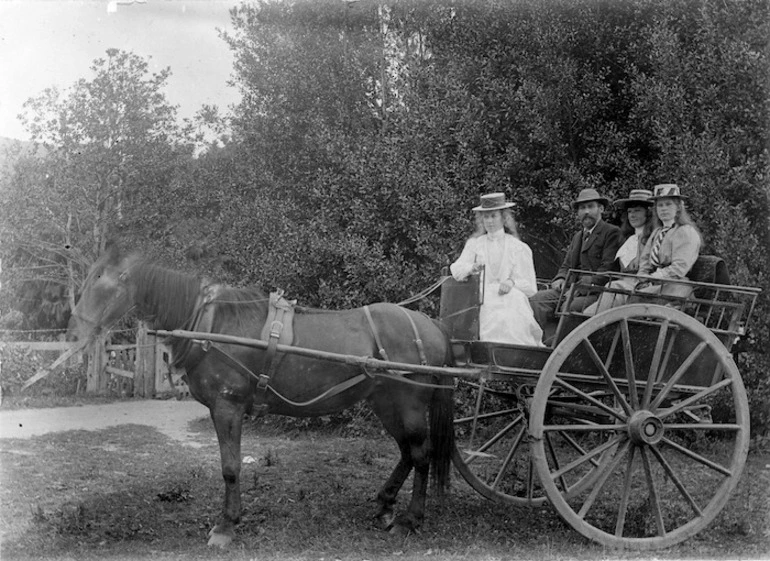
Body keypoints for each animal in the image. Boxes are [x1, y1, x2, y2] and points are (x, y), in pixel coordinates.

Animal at [69, 246, 452, 548]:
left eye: (101, 280)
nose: (74, 331)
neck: (210, 324)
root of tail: (431, 325)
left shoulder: (227, 407)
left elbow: (230, 467)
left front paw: (226, 526)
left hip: (410, 404)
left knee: (421, 455)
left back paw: (410, 519)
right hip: (386, 403)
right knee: (406, 452)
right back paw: (385, 505)